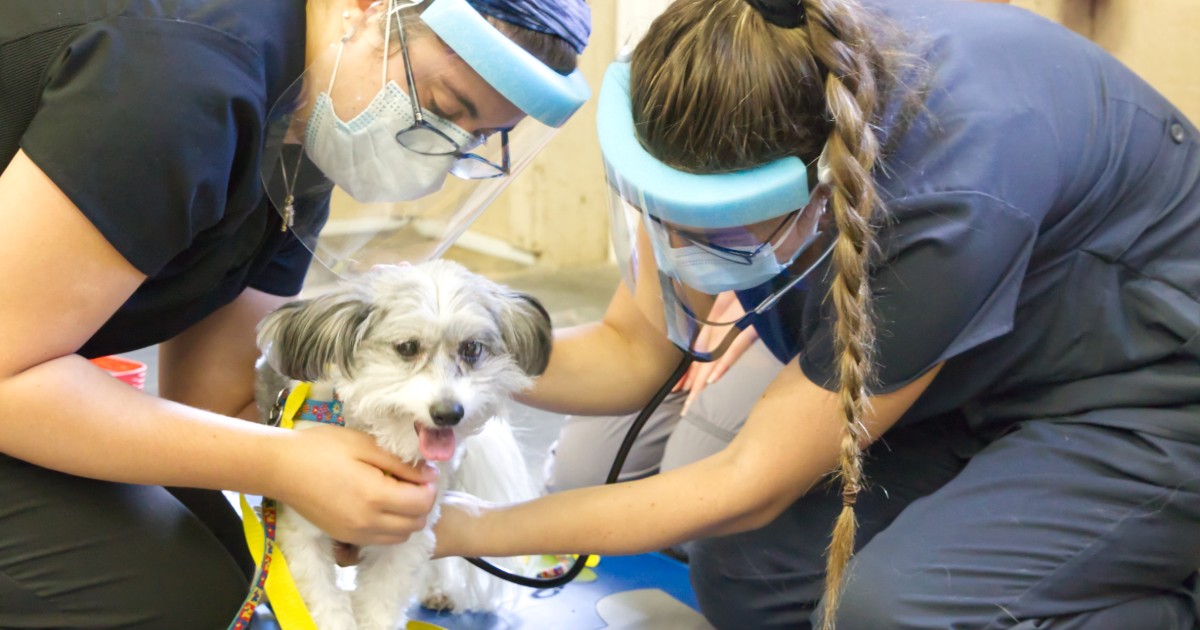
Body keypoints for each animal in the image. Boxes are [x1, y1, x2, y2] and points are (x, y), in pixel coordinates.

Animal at [256, 260, 552, 628]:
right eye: (407, 348)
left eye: (471, 348)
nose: (449, 413)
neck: (385, 441)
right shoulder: (301, 534)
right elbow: (324, 606)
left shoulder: (403, 537)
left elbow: (381, 604)